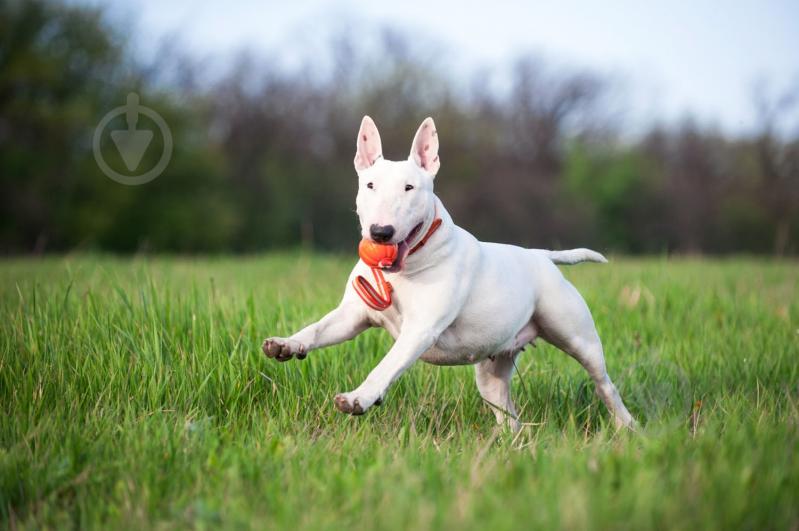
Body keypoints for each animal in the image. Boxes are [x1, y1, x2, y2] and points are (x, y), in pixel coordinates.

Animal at [264, 116, 636, 432]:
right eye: (369, 185)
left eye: (410, 188)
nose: (381, 233)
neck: (406, 268)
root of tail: (541, 256)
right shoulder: (352, 315)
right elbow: (317, 329)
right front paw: (286, 344)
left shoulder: (420, 330)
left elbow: (386, 365)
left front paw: (359, 398)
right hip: (491, 374)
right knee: (509, 417)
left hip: (577, 337)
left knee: (605, 385)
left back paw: (627, 429)